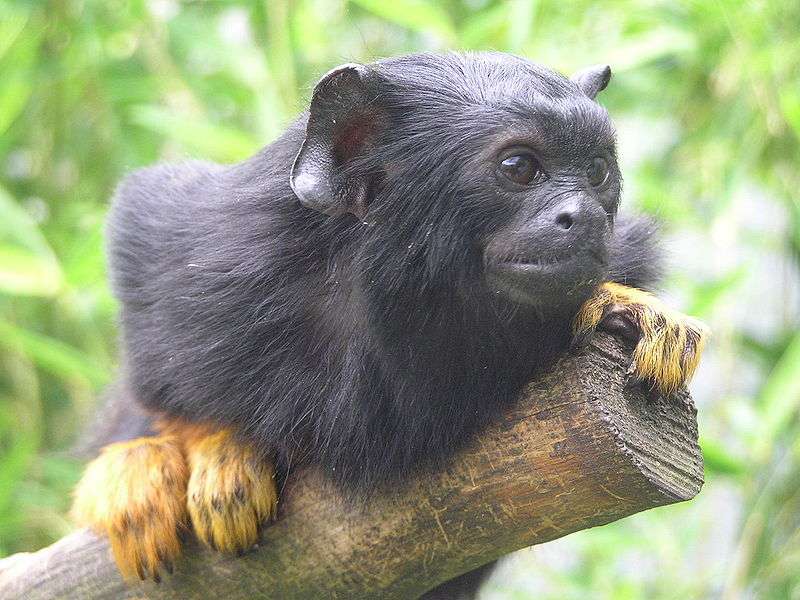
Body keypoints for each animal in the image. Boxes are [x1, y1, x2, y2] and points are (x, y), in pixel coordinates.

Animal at [70, 51, 708, 596]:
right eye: (519, 167)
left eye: (598, 173)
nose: (585, 216)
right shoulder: (209, 261)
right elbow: (159, 369)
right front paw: (214, 447)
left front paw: (622, 306)